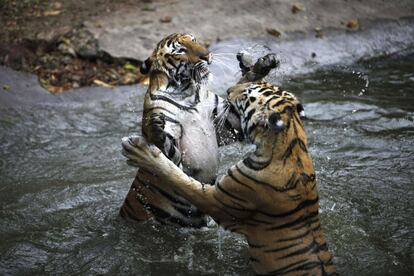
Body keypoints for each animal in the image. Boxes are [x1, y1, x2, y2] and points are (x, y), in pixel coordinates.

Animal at [119, 33, 278, 227]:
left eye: (194, 40)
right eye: (180, 50)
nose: (206, 55)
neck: (187, 93)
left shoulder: (227, 122)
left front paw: (263, 63)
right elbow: (164, 149)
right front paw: (154, 128)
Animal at [120, 77, 336, 274]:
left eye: (246, 94)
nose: (229, 89)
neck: (293, 139)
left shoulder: (216, 200)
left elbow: (180, 179)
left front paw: (141, 153)